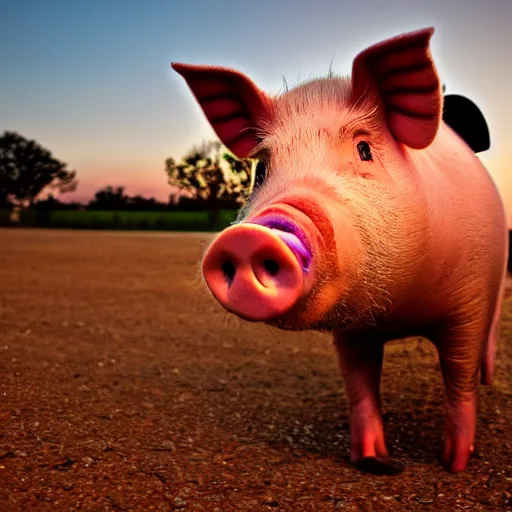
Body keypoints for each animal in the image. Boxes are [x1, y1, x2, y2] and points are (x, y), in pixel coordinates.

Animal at [171, 28, 508, 474]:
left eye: (364, 149)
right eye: (261, 170)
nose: (250, 235)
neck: (399, 310)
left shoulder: (470, 301)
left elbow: (458, 374)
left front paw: (454, 463)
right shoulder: (352, 327)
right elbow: (359, 381)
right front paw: (372, 460)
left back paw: (488, 379)